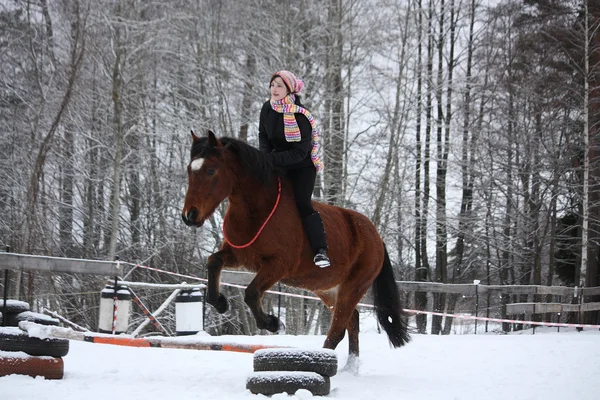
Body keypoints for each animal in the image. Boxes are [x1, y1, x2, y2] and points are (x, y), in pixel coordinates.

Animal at [180, 131, 410, 360]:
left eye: (211, 170)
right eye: (190, 170)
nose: (189, 216)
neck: (257, 211)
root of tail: (376, 237)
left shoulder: (279, 265)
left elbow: (251, 293)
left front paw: (273, 323)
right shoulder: (240, 257)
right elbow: (213, 262)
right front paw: (220, 302)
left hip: (354, 287)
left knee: (339, 329)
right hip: (326, 289)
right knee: (351, 321)